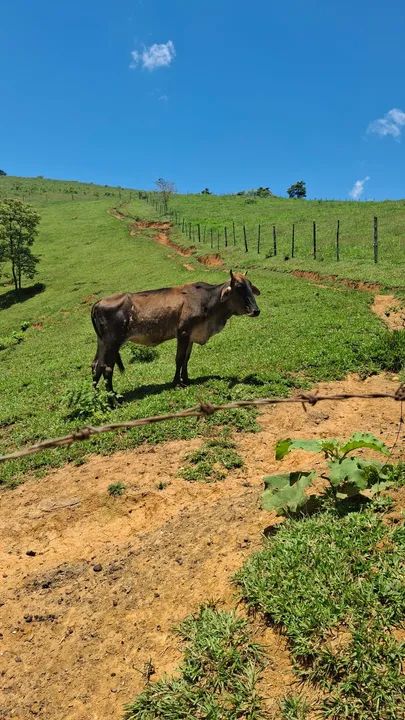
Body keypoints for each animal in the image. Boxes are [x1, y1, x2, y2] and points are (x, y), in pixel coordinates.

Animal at [91, 271, 260, 395]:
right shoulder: (183, 332)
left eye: (250, 286)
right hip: (113, 343)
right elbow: (179, 359)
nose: (256, 310)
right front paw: (177, 382)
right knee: (106, 368)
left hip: (103, 342)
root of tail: (98, 302)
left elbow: (186, 359)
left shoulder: (191, 335)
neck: (208, 301)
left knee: (96, 365)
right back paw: (113, 399)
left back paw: (97, 395)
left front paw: (186, 379)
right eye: (239, 287)